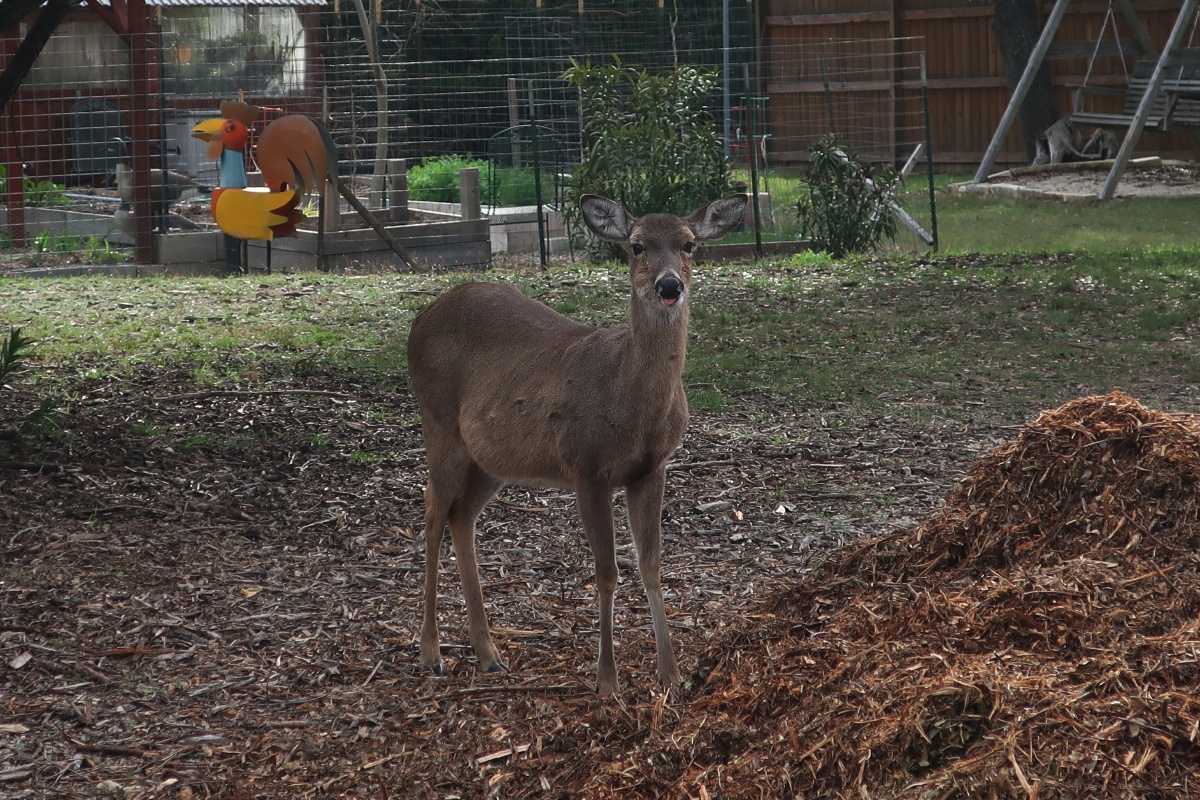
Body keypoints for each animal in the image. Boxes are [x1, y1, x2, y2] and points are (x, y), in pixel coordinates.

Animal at [408, 191, 744, 695]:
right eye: (636, 246)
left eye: (689, 244)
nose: (669, 286)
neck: (628, 397)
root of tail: (420, 318)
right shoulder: (586, 465)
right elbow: (606, 572)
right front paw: (607, 679)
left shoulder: (652, 468)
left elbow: (651, 565)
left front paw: (671, 675)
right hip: (440, 423)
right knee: (431, 508)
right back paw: (431, 652)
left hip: (492, 459)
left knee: (460, 515)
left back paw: (489, 654)